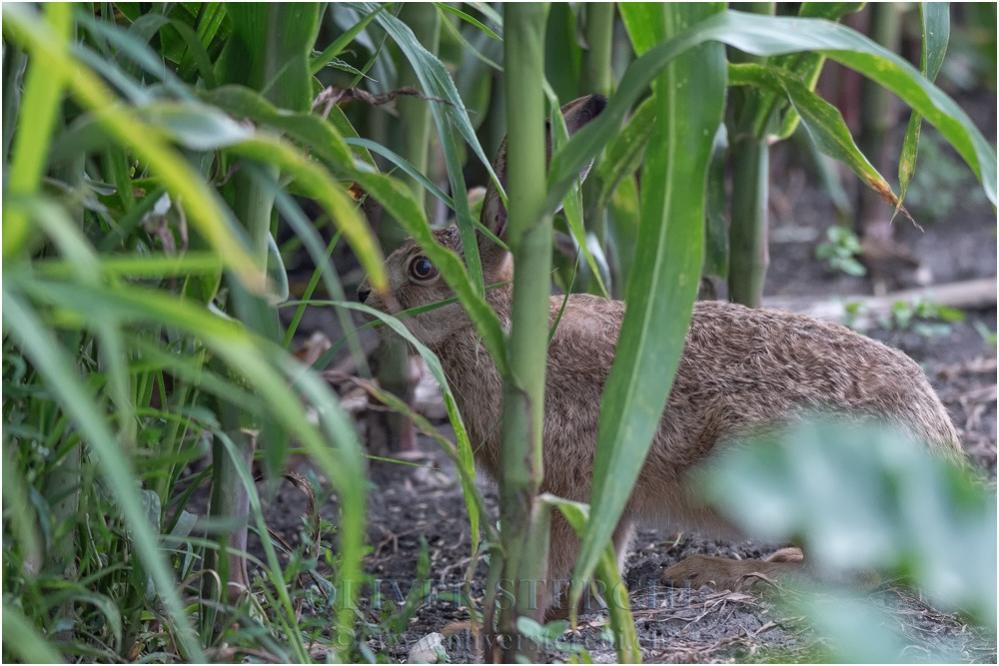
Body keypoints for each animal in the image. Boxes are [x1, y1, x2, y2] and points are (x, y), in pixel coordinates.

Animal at [357, 94, 963, 621]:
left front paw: (506, 621)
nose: (364, 295)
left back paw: (715, 571)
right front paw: (575, 609)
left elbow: (554, 559)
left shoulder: (566, 482)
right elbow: (605, 549)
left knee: (853, 575)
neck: (495, 324)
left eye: (420, 268)